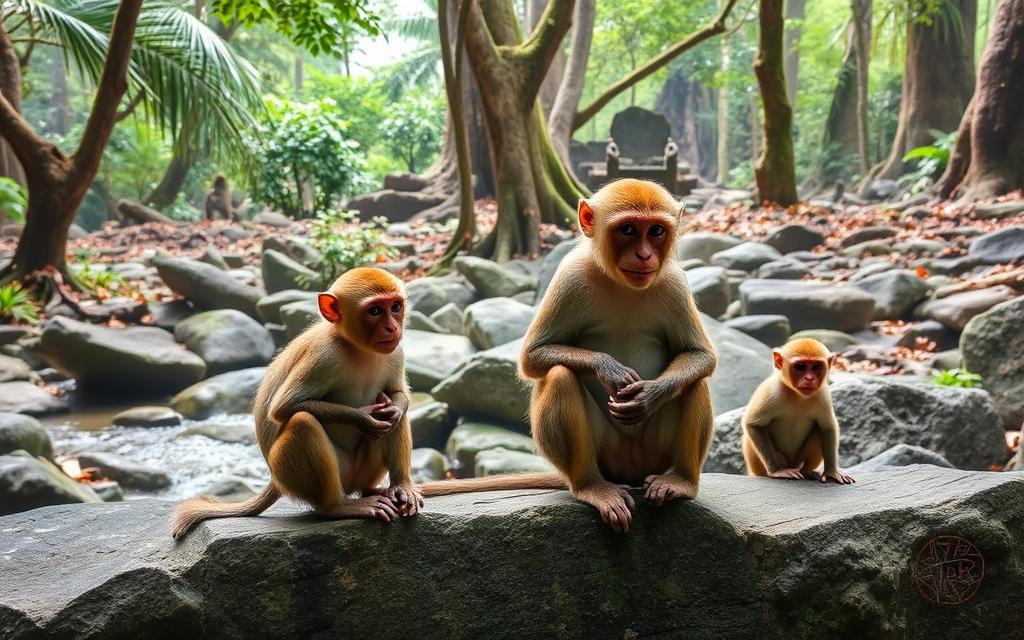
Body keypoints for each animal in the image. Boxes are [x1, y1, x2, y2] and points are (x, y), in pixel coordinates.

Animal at [174, 266, 421, 536]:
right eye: (375, 311)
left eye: (395, 306)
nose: (392, 328)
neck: (357, 348)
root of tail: (276, 481)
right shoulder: (324, 356)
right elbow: (284, 407)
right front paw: (364, 419)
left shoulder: (396, 352)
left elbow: (397, 397)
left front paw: (392, 410)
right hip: (296, 474)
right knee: (303, 421)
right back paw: (338, 506)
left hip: (364, 471)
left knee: (394, 415)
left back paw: (398, 487)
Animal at [745, 337, 856, 481]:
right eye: (800, 367)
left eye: (816, 367)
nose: (809, 378)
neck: (797, 396)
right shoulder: (771, 391)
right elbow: (753, 425)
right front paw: (776, 471)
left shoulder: (823, 394)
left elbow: (828, 428)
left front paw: (831, 472)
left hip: (798, 460)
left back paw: (807, 472)